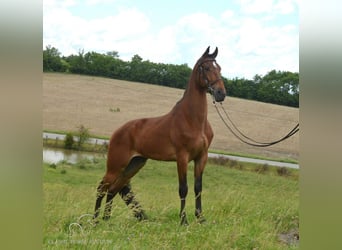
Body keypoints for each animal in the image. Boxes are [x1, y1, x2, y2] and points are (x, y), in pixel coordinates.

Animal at [94, 46, 227, 225]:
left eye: (219, 68)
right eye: (206, 68)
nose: (221, 93)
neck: (193, 120)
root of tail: (118, 131)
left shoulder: (202, 157)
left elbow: (198, 187)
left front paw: (201, 219)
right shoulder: (182, 157)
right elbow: (183, 188)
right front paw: (184, 221)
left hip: (134, 164)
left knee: (114, 189)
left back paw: (107, 219)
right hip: (116, 165)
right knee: (102, 188)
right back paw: (94, 220)